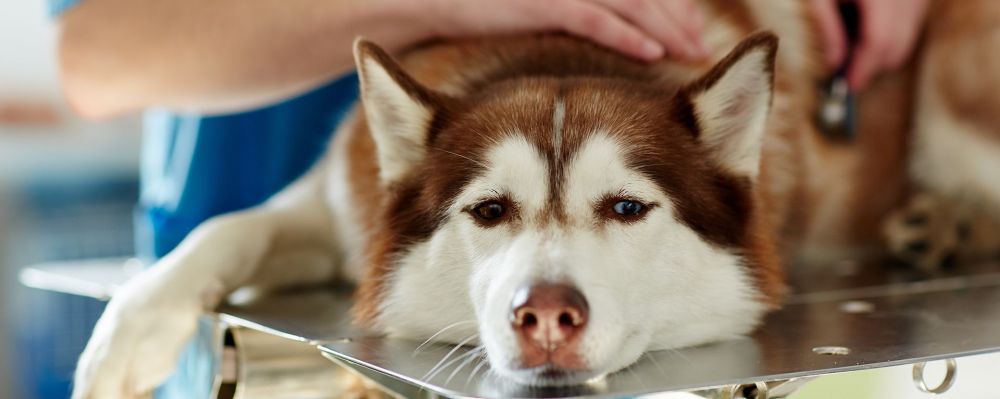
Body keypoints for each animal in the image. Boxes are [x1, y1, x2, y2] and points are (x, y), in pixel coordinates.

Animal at [72, 1, 1000, 398]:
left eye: (626, 208)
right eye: (490, 211)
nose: (546, 313)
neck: (554, 47)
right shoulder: (339, 198)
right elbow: (225, 227)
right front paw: (125, 337)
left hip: (957, 82)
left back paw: (950, 222)